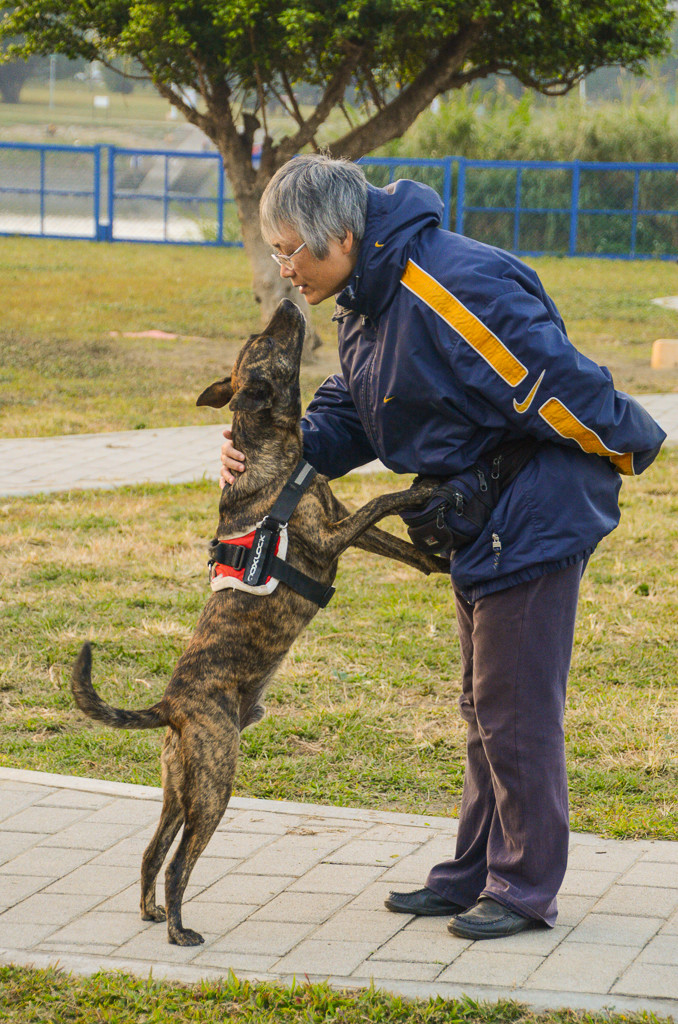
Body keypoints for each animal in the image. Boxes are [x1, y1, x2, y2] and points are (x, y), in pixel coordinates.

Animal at [71, 299, 448, 942]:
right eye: (266, 340)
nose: (289, 304)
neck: (273, 447)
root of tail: (170, 705)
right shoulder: (332, 535)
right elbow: (383, 502)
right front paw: (421, 489)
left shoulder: (341, 524)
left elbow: (398, 543)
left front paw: (439, 559)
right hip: (215, 782)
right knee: (179, 862)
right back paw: (179, 930)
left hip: (180, 786)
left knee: (151, 852)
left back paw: (150, 912)